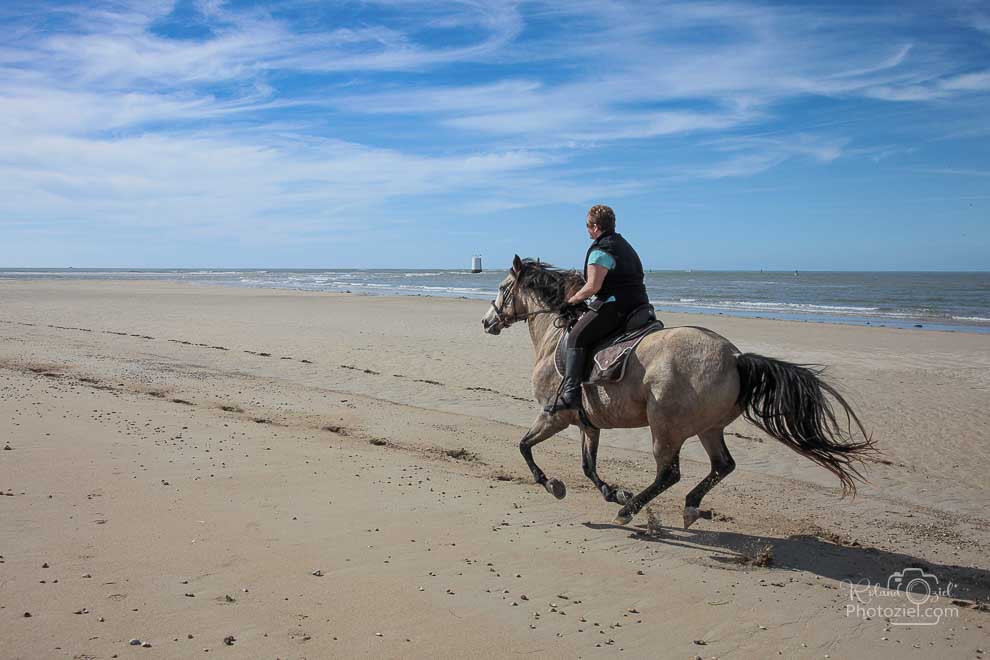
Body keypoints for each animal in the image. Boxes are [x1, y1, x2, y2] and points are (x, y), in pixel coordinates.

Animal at [482, 255, 876, 528]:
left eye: (502, 288)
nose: (487, 322)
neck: (556, 335)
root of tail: (735, 357)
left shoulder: (556, 415)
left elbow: (524, 446)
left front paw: (553, 484)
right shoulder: (587, 423)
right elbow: (588, 466)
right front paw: (613, 492)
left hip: (666, 428)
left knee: (669, 473)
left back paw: (631, 511)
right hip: (709, 428)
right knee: (722, 465)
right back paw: (687, 506)